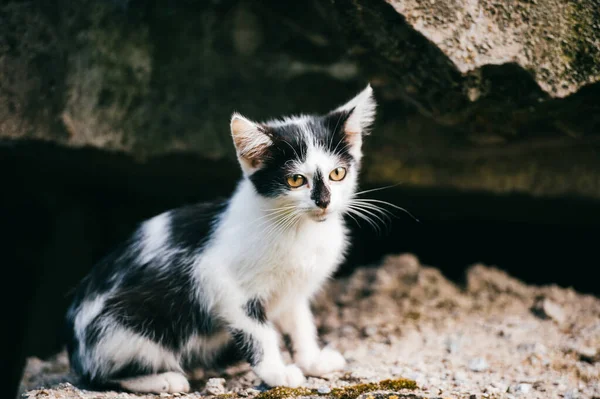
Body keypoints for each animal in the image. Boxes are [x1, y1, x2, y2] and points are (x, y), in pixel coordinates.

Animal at [64, 84, 376, 394]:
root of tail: (77, 350)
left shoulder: (293, 290)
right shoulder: (223, 283)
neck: (298, 230)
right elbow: (259, 333)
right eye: (296, 180)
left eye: (338, 173)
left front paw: (312, 361)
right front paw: (277, 373)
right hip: (125, 330)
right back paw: (164, 379)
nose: (324, 202)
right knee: (98, 376)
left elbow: (300, 324)